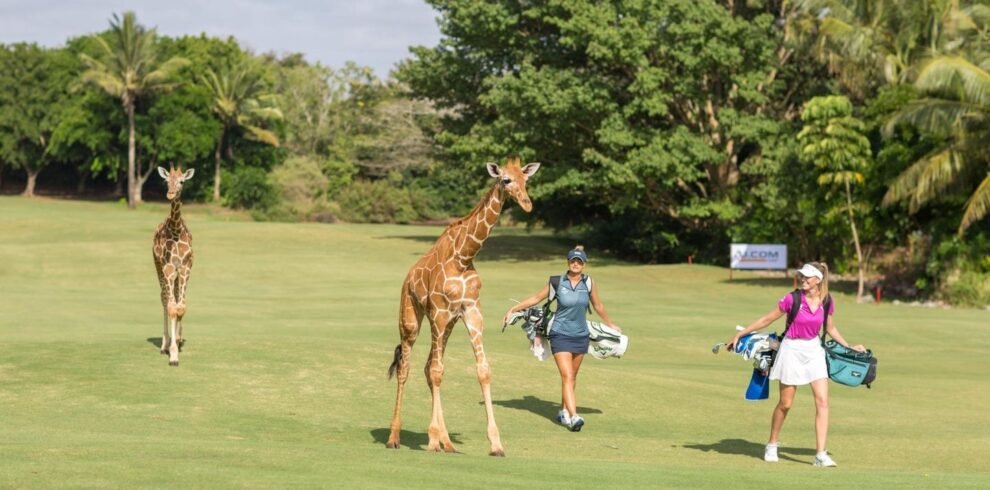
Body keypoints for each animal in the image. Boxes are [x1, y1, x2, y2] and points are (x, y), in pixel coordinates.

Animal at [386, 157, 540, 456]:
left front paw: (496, 444)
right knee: (406, 368)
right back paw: (394, 437)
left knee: (428, 367)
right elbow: (437, 372)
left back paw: (446, 442)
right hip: (411, 319)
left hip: (447, 325)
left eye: (525, 179)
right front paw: (431, 440)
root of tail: (408, 277)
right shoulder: (438, 311)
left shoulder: (471, 312)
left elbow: (482, 370)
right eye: (505, 179)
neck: (463, 256)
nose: (527, 204)